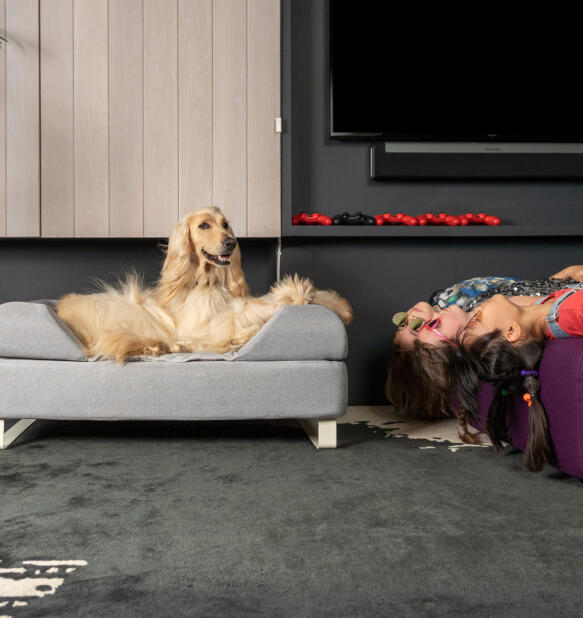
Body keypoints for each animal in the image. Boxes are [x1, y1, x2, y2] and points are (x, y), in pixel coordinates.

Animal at [57, 207, 354, 360]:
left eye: (225, 224)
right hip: (121, 309)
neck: (207, 282)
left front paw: (338, 305)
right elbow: (251, 312)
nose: (231, 243)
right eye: (203, 226)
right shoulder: (201, 324)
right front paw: (296, 293)